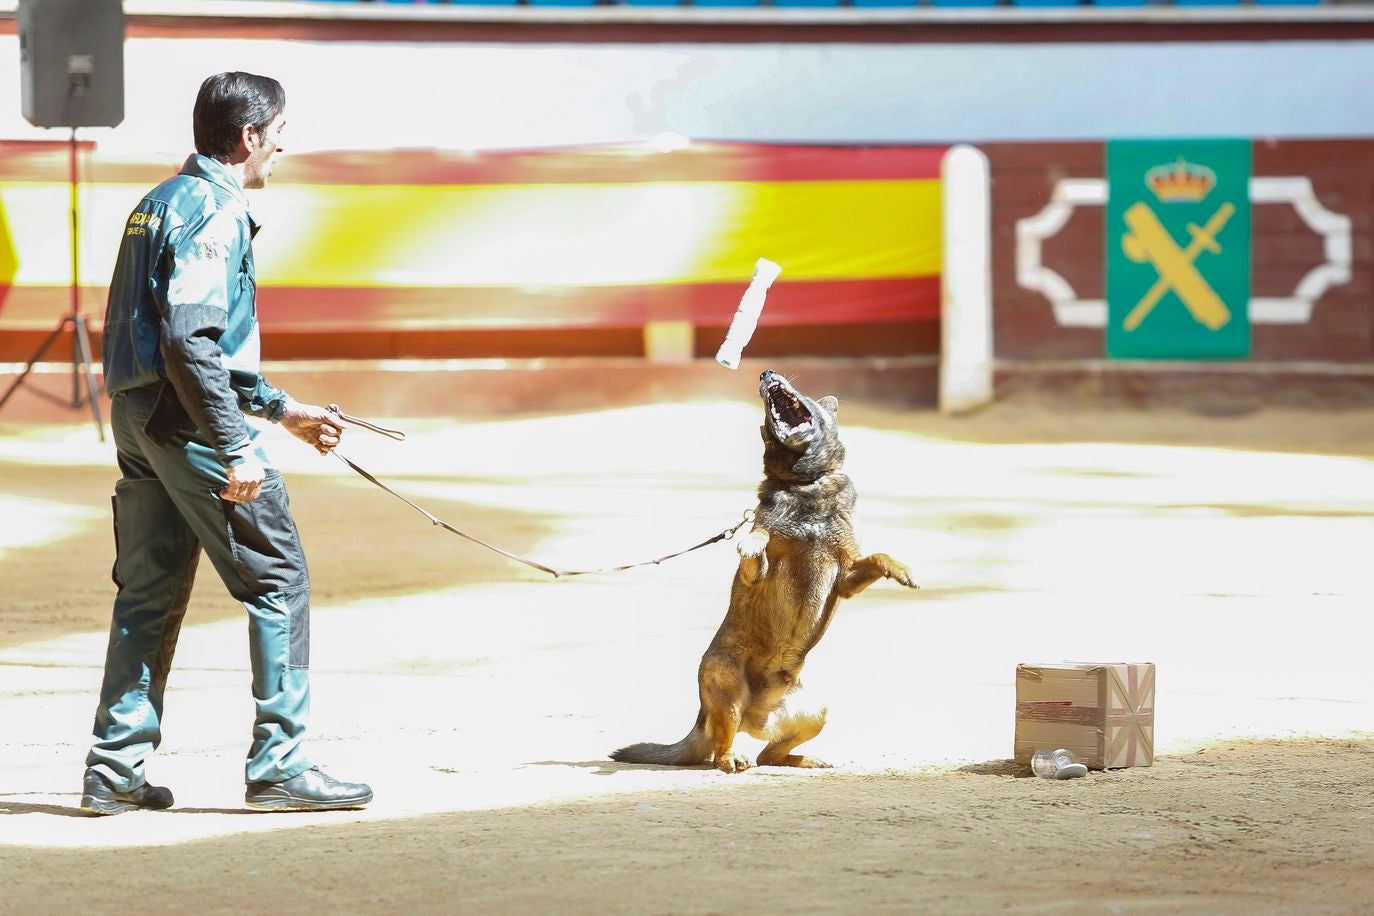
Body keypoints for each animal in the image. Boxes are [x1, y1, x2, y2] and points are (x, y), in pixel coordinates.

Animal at [610, 368, 912, 774]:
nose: (766, 373)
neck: (806, 485)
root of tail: (755, 716)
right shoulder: (761, 569)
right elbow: (760, 538)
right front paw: (752, 541)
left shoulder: (845, 575)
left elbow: (878, 555)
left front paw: (901, 569)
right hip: (727, 687)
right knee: (722, 750)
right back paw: (731, 758)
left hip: (817, 710)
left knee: (769, 755)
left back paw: (803, 759)